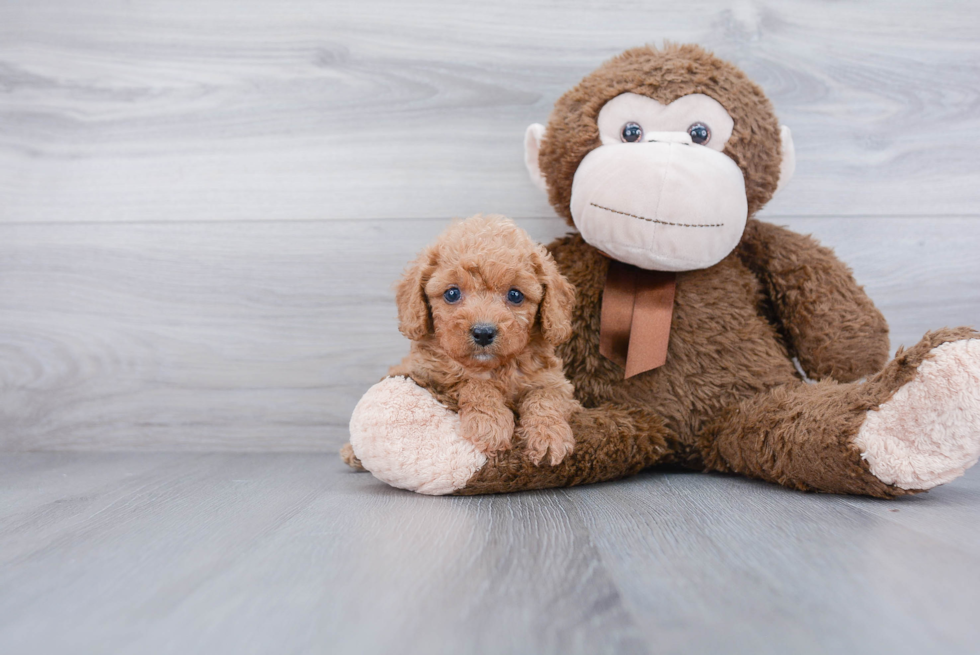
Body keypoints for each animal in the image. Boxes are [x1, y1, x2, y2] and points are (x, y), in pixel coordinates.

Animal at [384, 215, 580, 466]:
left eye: (515, 295)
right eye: (452, 293)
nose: (484, 332)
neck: (493, 368)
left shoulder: (557, 383)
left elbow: (546, 396)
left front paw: (549, 435)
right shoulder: (429, 376)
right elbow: (473, 383)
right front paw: (490, 425)